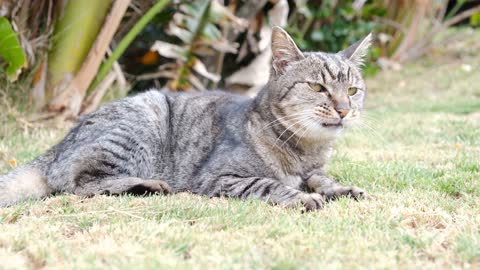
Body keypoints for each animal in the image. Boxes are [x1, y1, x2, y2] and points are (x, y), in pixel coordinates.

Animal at [0, 26, 372, 209]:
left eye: (352, 90)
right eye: (317, 87)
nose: (344, 109)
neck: (306, 149)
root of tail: (59, 145)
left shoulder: (314, 169)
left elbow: (321, 178)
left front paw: (340, 188)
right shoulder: (219, 177)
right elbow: (270, 184)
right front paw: (303, 197)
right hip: (143, 121)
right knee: (80, 184)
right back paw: (149, 185)